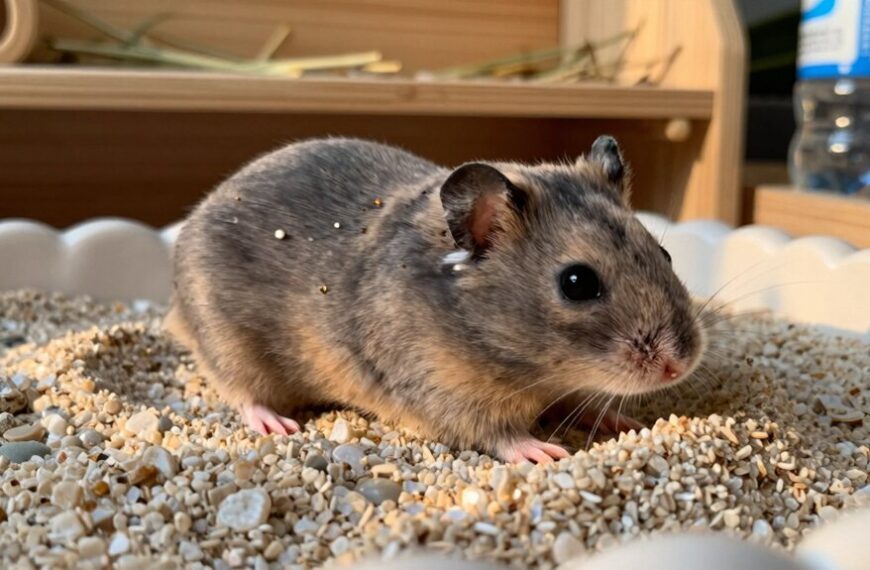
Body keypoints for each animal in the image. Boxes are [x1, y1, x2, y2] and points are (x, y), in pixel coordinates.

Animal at [165, 136, 705, 463]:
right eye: (577, 283)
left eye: (665, 253)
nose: (680, 365)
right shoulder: (444, 394)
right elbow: (499, 435)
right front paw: (547, 453)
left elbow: (581, 401)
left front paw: (620, 420)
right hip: (228, 343)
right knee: (241, 391)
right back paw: (276, 425)